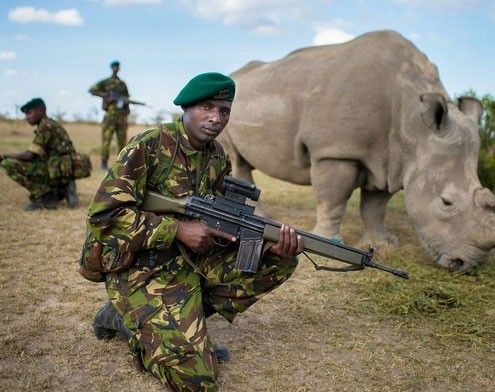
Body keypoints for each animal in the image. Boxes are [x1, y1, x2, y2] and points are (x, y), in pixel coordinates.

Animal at [221, 30, 495, 272]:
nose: (466, 264)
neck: (413, 125)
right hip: (231, 106)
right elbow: (333, 197)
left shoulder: (391, 160)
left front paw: (384, 242)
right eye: (446, 202)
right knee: (236, 159)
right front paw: (329, 240)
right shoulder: (335, 151)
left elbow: (375, 205)